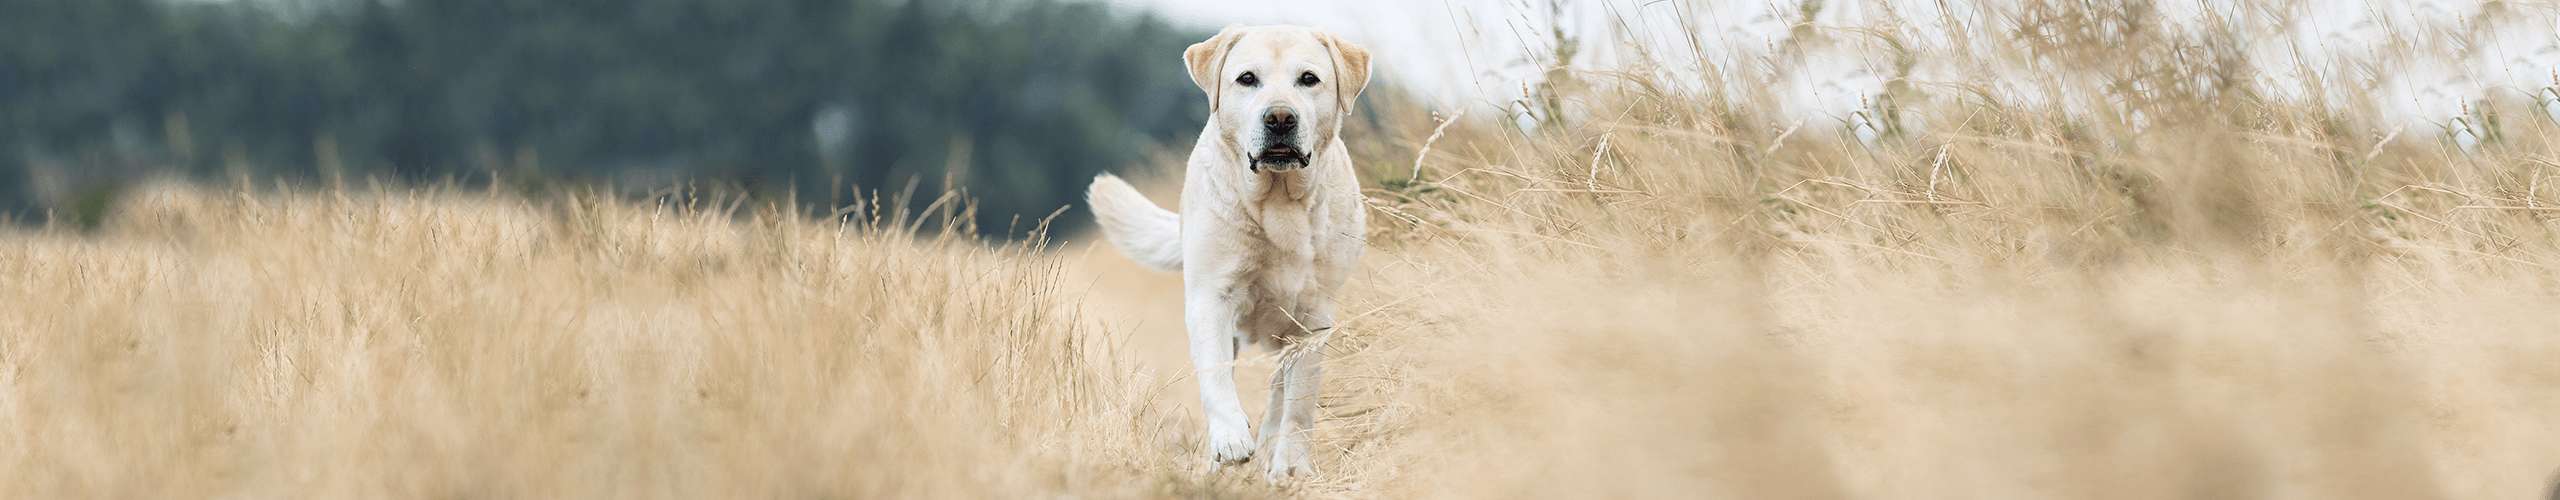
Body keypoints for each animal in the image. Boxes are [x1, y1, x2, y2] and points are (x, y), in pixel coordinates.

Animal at [1085, 24, 1372, 479]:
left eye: (1309, 79)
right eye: (1247, 78)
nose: (1279, 118)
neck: (1277, 204)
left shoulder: (1314, 319)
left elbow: (1299, 400)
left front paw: (1292, 467)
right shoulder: (1210, 299)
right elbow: (1216, 378)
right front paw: (1231, 441)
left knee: (1279, 391)